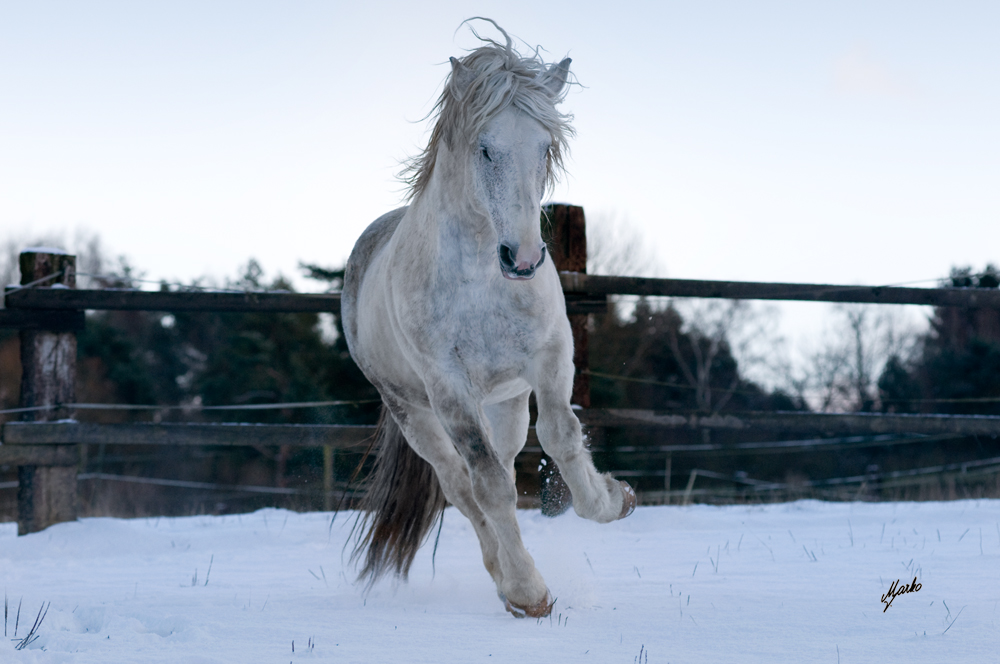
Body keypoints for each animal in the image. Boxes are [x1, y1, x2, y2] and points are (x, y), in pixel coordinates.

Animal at [342, 22, 632, 624]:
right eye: (484, 148)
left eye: (545, 148)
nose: (522, 258)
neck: (480, 278)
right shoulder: (449, 389)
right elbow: (490, 487)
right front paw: (529, 594)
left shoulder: (550, 357)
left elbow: (561, 437)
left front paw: (614, 499)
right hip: (415, 413)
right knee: (462, 486)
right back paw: (504, 581)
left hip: (504, 402)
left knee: (500, 461)